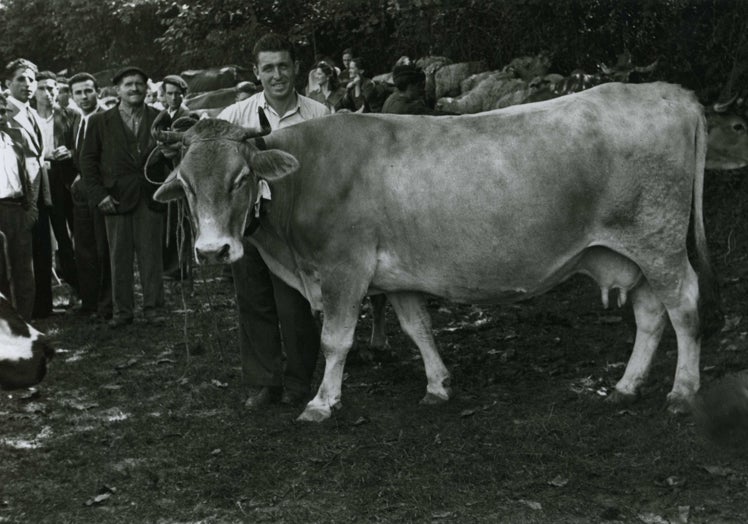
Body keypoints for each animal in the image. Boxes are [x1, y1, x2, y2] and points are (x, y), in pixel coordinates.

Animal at [155, 84, 720, 424]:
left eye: (241, 178)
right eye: (186, 184)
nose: (212, 250)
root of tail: (670, 92)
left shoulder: (344, 268)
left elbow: (336, 339)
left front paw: (321, 402)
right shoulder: (397, 275)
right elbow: (418, 328)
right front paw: (439, 385)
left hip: (660, 241)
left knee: (684, 306)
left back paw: (683, 391)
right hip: (630, 252)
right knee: (650, 314)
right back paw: (626, 385)